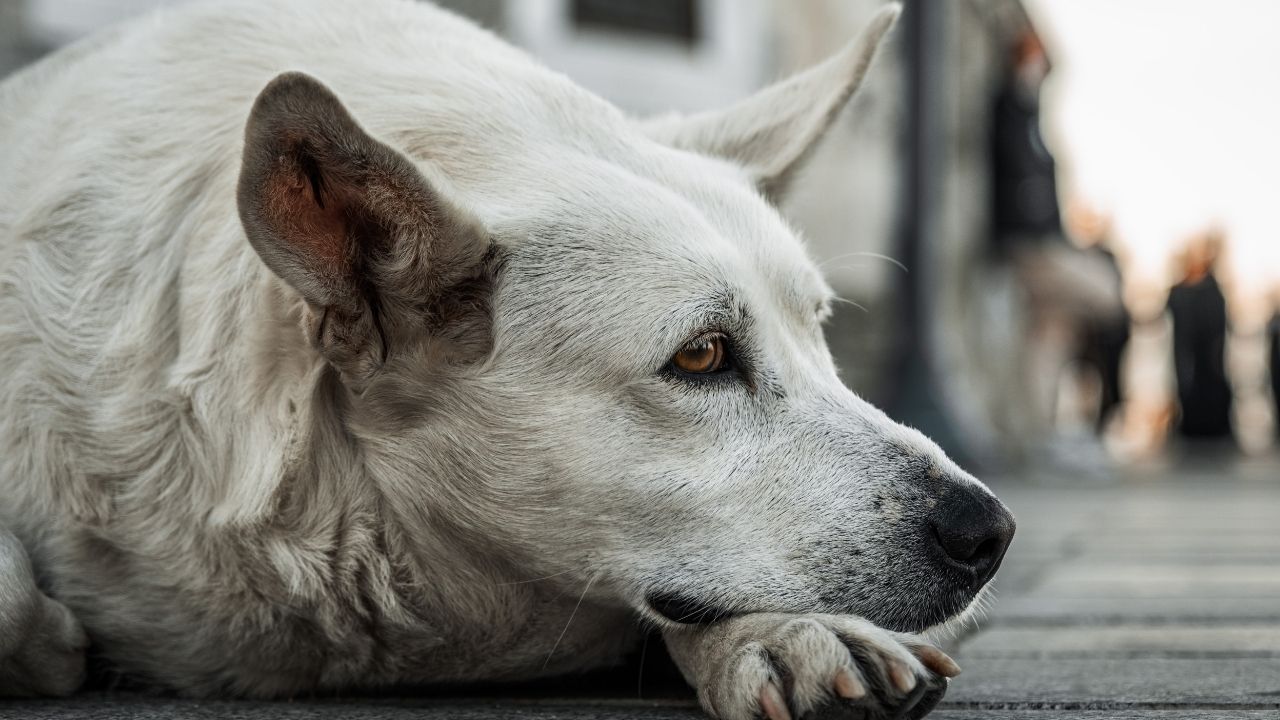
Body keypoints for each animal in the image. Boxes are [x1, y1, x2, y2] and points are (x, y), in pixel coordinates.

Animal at [0, 1, 1013, 712]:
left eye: (819, 332)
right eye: (701, 357)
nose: (989, 533)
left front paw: (795, 632)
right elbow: (15, 597)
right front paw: (45, 641)